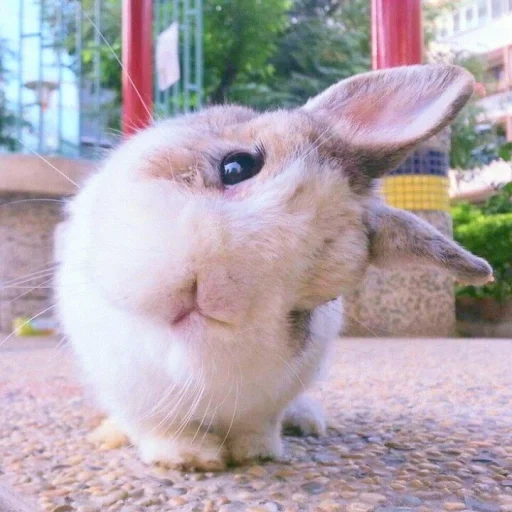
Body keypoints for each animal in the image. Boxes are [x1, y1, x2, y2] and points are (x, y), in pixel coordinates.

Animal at [55, 65, 492, 472]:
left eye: (321, 295)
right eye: (237, 165)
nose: (213, 293)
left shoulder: (271, 397)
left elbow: (256, 426)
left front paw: (257, 453)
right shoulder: (125, 388)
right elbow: (155, 425)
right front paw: (189, 458)